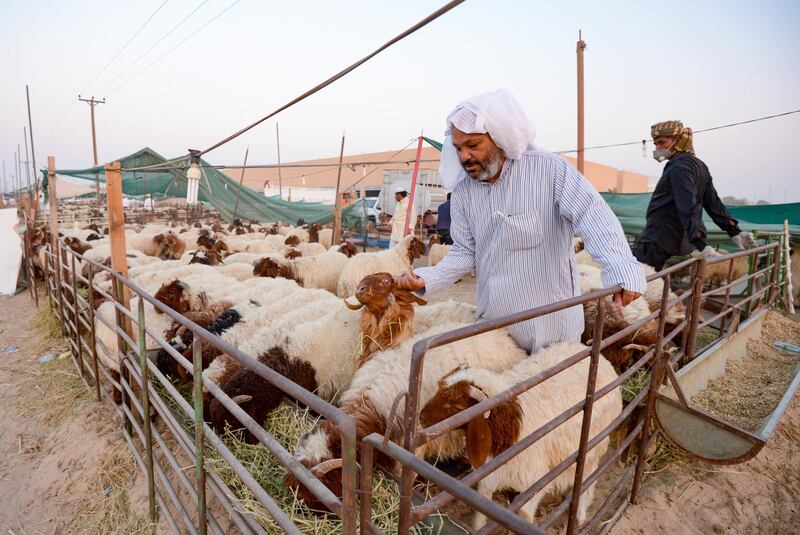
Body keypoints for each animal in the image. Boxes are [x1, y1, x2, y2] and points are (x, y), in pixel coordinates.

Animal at [422, 342, 620, 528]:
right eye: (438, 389)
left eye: (456, 407)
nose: (421, 417)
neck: (510, 428)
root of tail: (601, 358)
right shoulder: (491, 473)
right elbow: (481, 514)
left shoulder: (536, 482)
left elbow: (524, 514)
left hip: (593, 446)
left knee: (589, 478)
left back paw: (580, 514)